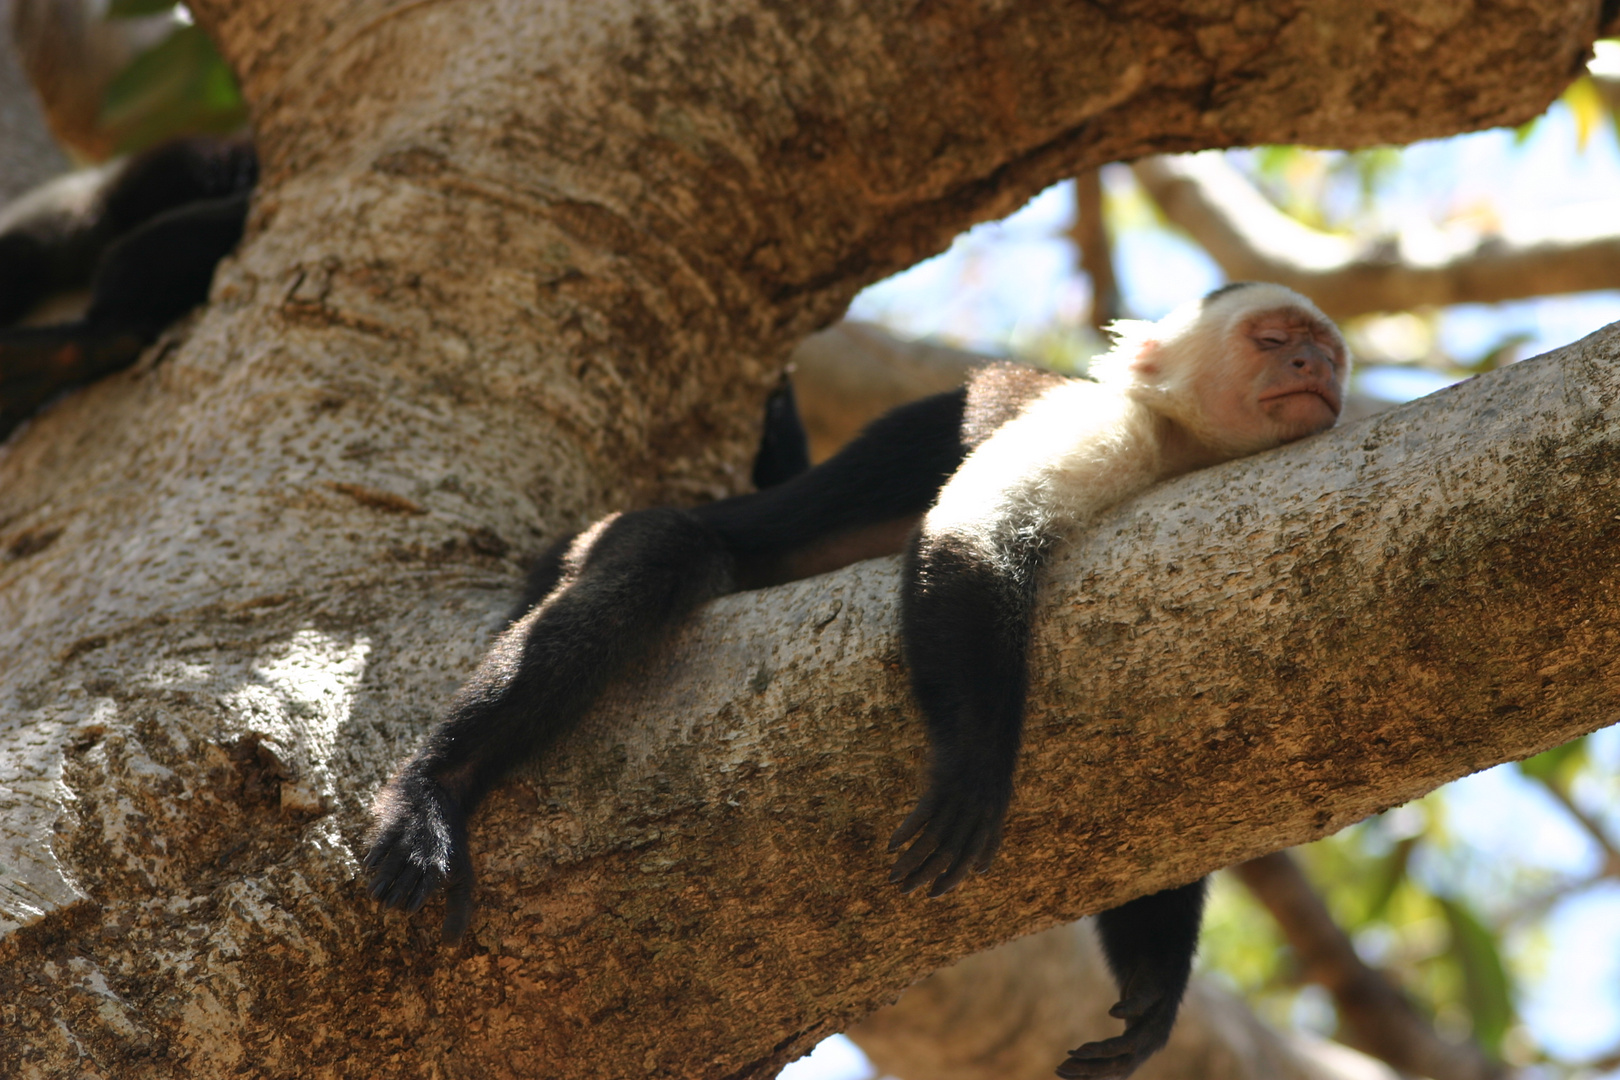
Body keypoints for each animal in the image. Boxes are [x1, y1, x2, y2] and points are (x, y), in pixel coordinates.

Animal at [370, 283, 1354, 1075]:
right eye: (1273, 338)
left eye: (1330, 352)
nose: (1313, 364)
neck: (1184, 449)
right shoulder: (1109, 426)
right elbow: (968, 539)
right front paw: (975, 768)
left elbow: (1178, 812)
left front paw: (1152, 993)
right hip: (617, 538)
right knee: (664, 554)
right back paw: (437, 786)